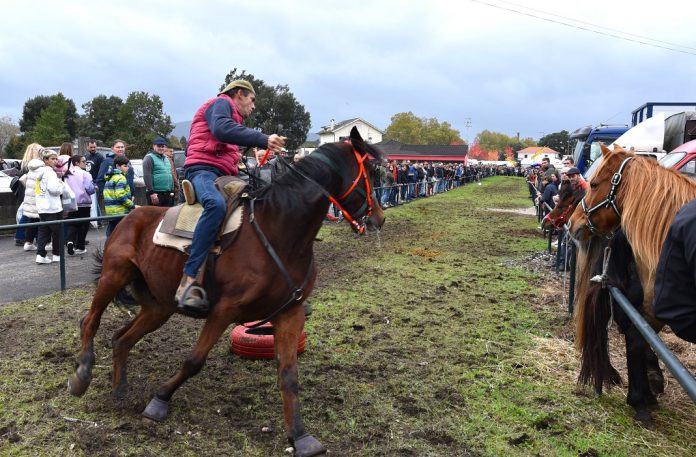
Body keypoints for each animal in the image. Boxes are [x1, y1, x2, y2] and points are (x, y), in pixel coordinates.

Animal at [67, 125, 386, 456]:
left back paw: (119, 390)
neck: (278, 231)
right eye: (373, 172)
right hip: (113, 276)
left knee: (121, 340)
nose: (379, 217)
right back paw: (82, 374)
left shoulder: (290, 312)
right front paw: (159, 400)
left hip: (159, 306)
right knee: (90, 321)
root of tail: (129, 217)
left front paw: (300, 436)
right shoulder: (223, 311)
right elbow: (194, 361)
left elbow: (288, 374)